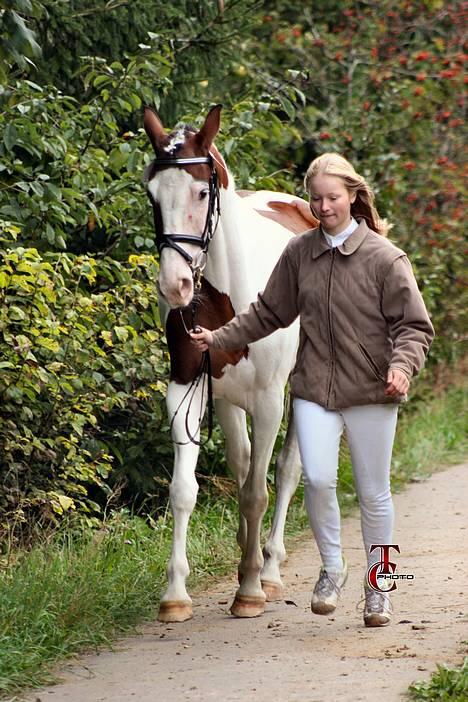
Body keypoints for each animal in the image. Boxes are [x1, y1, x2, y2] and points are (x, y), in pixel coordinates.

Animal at [144, 103, 316, 620]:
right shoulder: (186, 388)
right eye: (152, 194)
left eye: (202, 191)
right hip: (226, 399)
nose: (175, 285)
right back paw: (249, 554)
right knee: (242, 465)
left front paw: (251, 589)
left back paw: (270, 568)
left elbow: (260, 491)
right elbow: (185, 490)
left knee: (284, 473)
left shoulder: (268, 401)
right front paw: (175, 594)